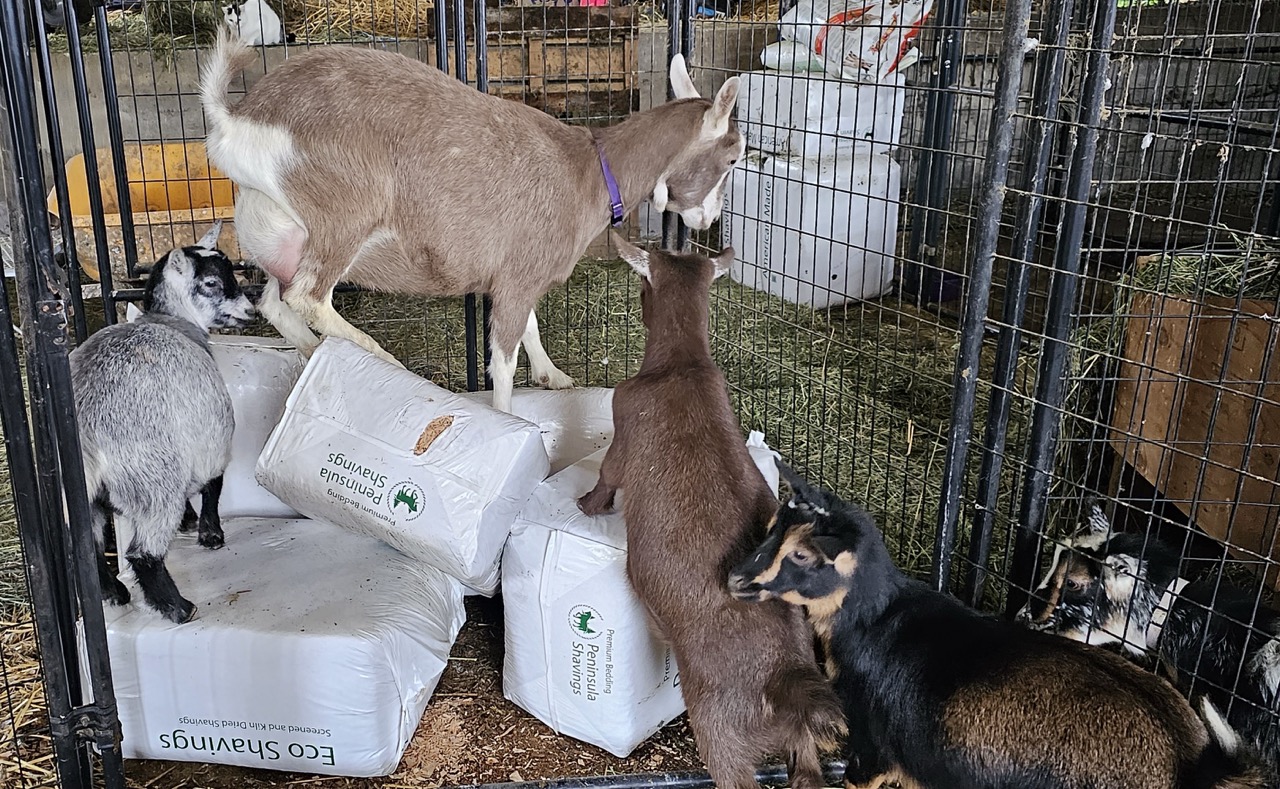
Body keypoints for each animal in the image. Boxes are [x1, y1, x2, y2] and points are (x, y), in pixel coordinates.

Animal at [71, 223, 253, 623]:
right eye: (211, 282)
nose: (250, 310)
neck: (174, 321)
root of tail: (86, 425)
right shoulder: (210, 436)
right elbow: (213, 483)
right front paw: (210, 533)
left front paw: (189, 521)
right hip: (153, 480)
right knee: (143, 552)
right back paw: (179, 608)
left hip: (80, 496)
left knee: (90, 548)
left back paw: (114, 593)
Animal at [199, 29, 745, 413]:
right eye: (735, 156)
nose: (709, 219)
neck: (590, 172)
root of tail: (240, 120)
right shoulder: (519, 276)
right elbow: (502, 361)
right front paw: (506, 417)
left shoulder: (512, 273)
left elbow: (530, 327)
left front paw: (554, 377)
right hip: (345, 212)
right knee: (308, 295)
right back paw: (381, 357)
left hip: (279, 237)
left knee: (274, 300)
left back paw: (316, 352)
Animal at [576, 233, 845, 789]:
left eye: (643, 282)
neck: (683, 363)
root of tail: (785, 678)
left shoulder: (624, 421)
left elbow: (607, 474)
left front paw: (586, 505)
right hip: (800, 741)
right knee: (807, 772)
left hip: (718, 725)